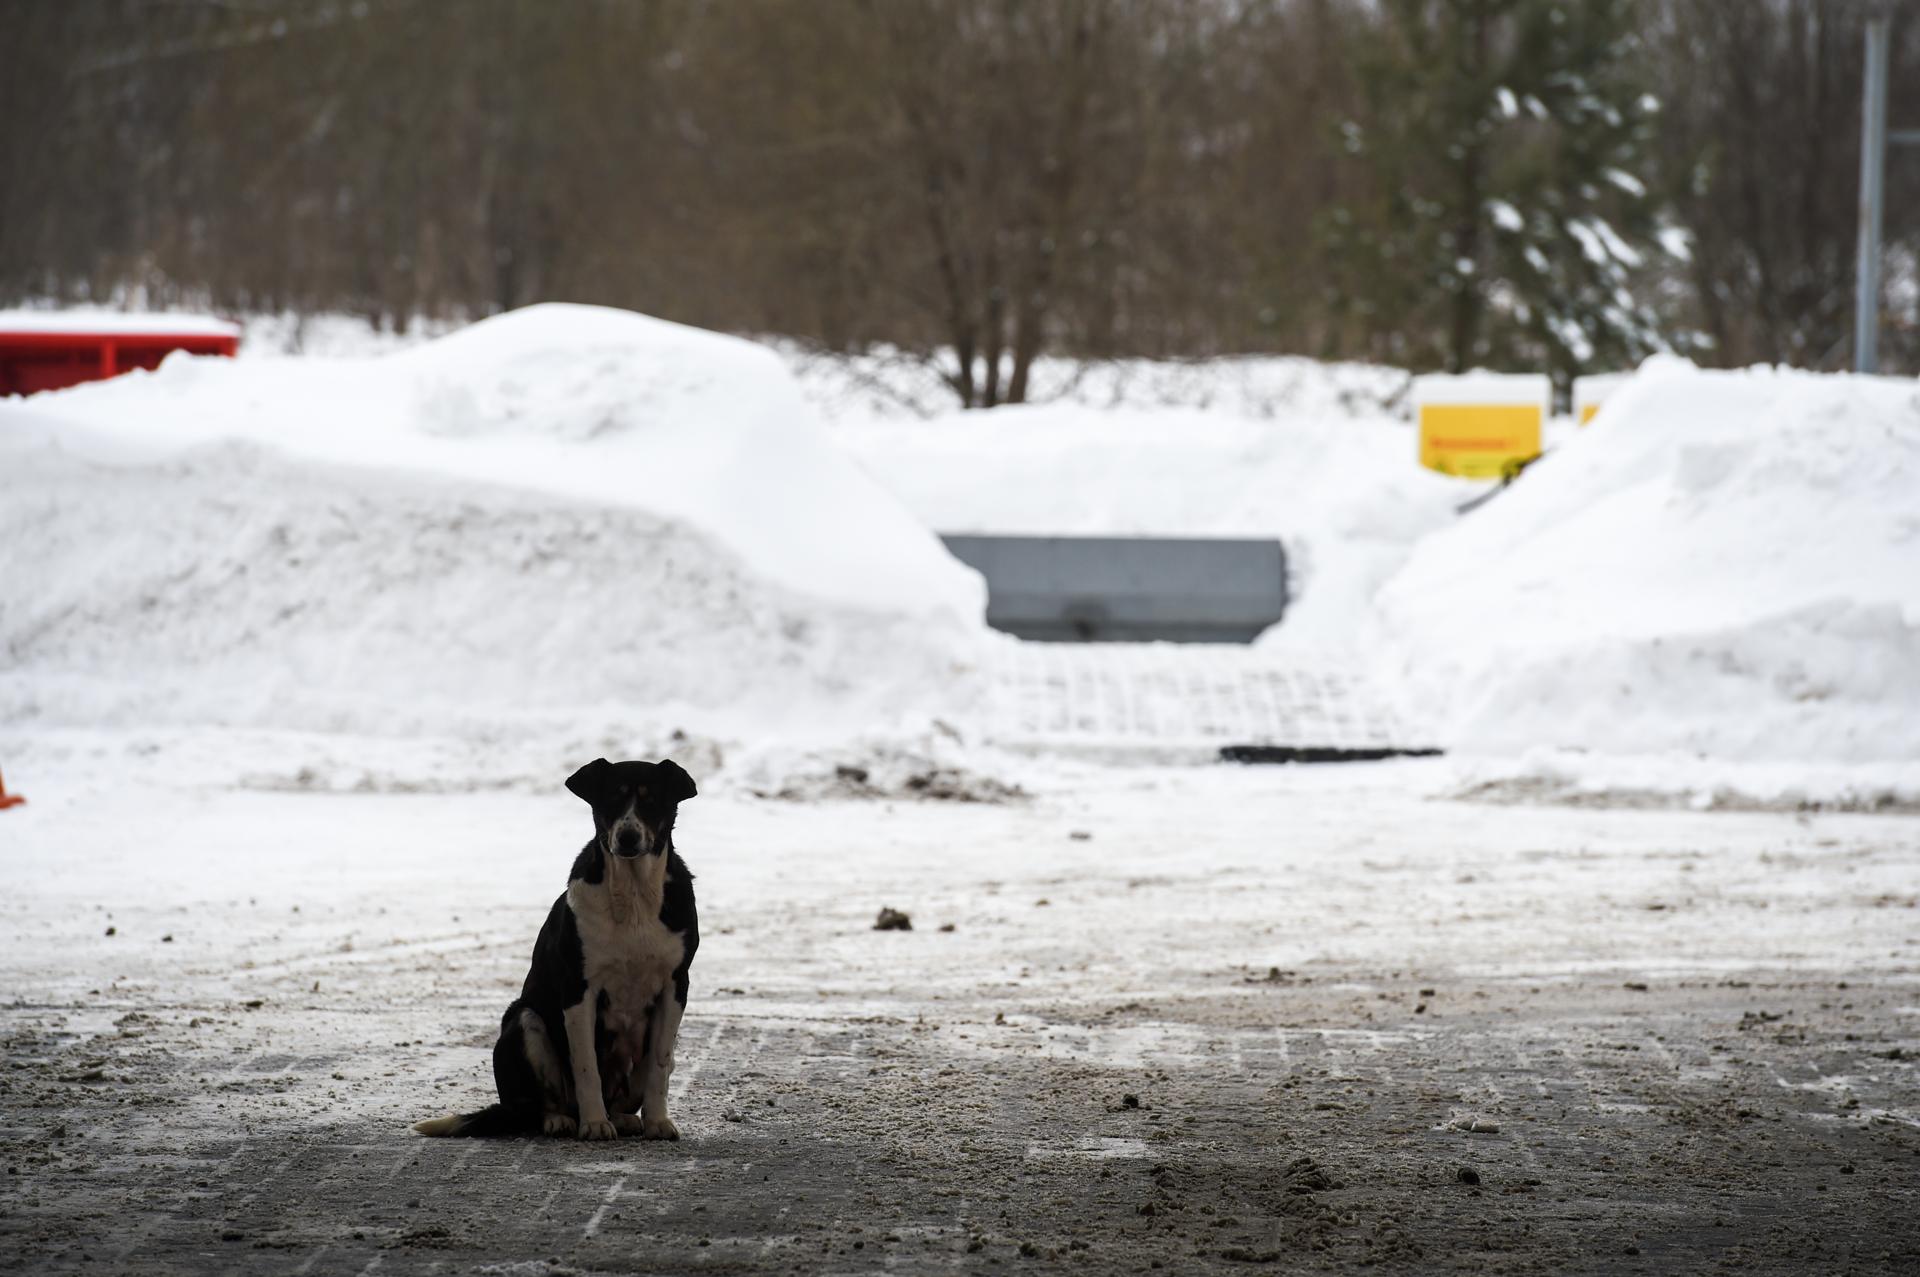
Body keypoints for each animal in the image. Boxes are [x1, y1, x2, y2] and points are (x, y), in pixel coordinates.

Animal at [412, 752, 698, 1136]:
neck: (633, 894)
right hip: (524, 1020)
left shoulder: (675, 986)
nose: (627, 837)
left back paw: (624, 1118)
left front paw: (657, 1122)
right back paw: (563, 1119)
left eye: (651, 800)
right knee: (540, 1104)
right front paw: (594, 1124)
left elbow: (659, 1063)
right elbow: (585, 1065)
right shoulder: (578, 988)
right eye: (612, 798)